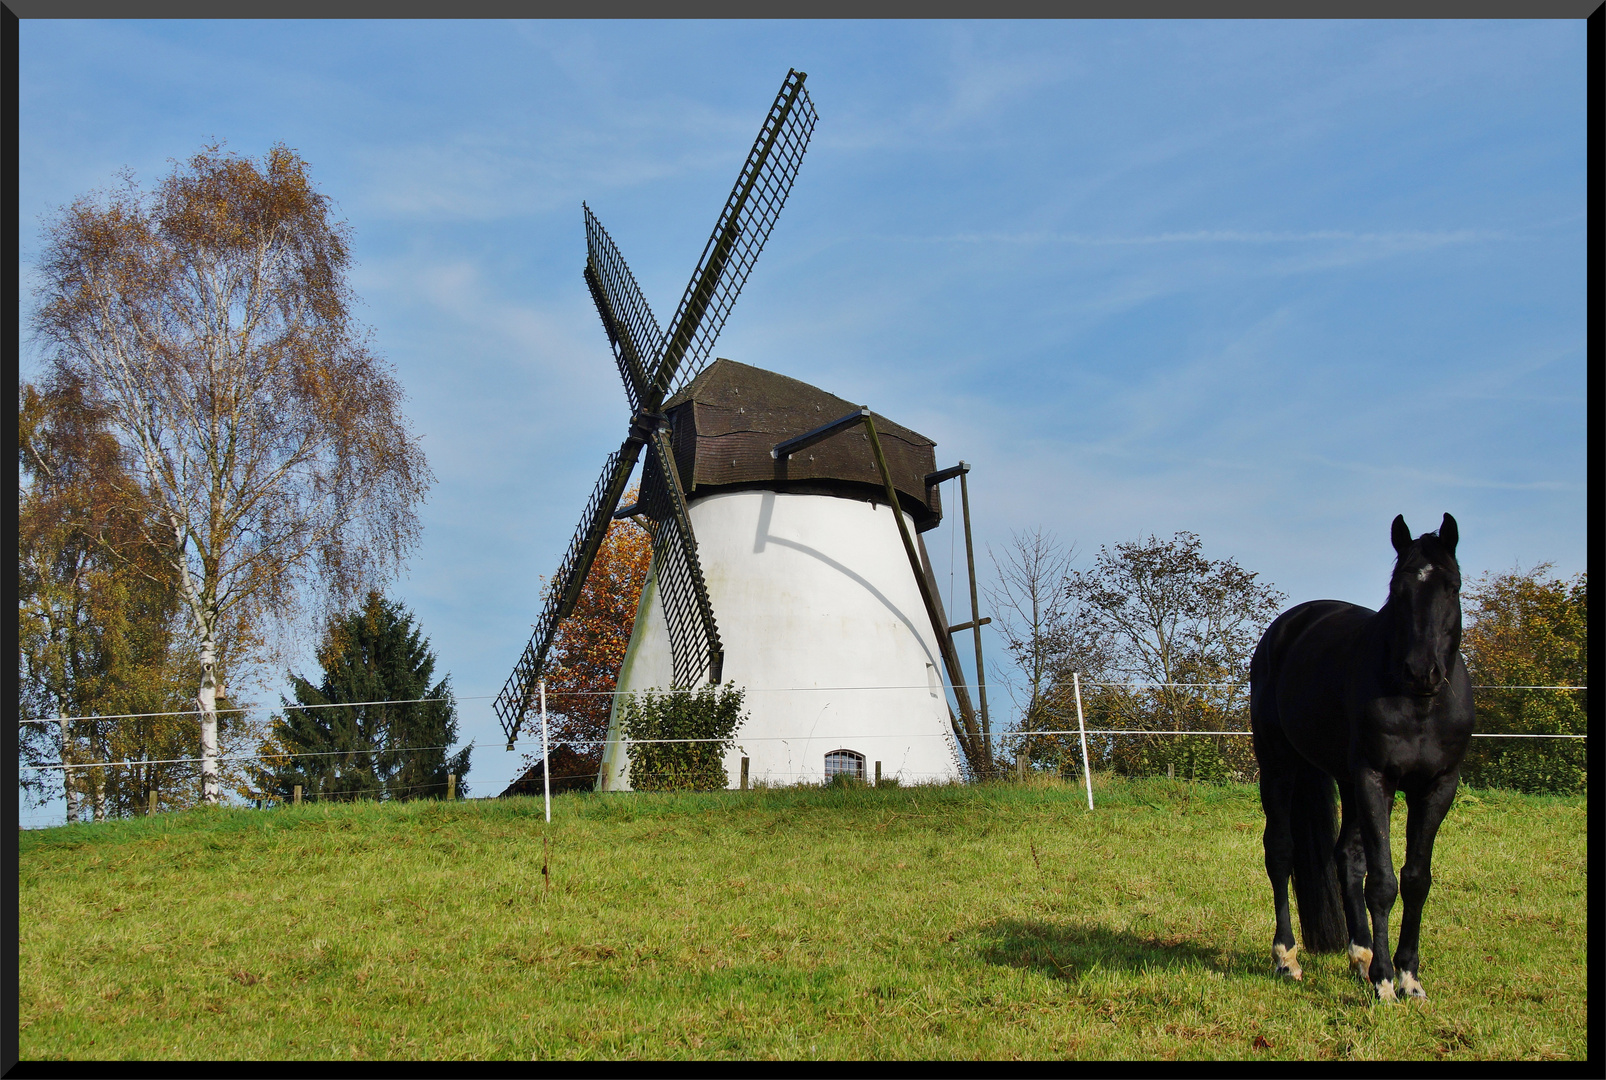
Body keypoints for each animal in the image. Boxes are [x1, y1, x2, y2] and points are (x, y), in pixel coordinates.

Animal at [1246, 511, 1471, 1002]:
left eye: (1452, 586)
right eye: (1398, 588)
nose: (1421, 670)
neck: (1418, 704)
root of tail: (1289, 625)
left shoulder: (1438, 786)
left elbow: (1416, 879)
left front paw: (1408, 977)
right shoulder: (1375, 779)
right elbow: (1383, 882)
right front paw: (1386, 982)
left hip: (1345, 781)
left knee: (1346, 857)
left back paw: (1360, 956)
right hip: (1280, 766)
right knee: (1281, 851)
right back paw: (1287, 957)